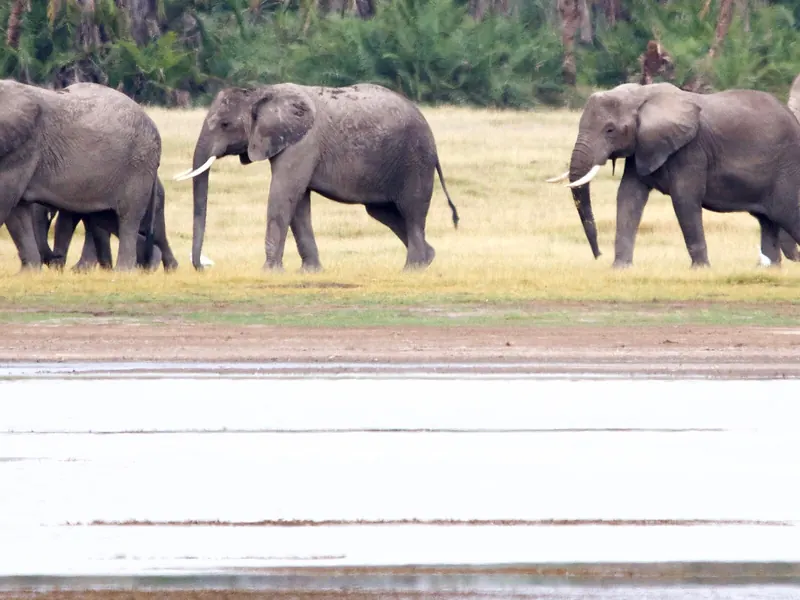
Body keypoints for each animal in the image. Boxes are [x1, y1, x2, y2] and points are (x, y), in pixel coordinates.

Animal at [0, 79, 161, 271]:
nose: (56, 257)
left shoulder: (22, 149)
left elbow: (6, 202)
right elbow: (17, 212)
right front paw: (28, 273)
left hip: (138, 167)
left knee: (128, 218)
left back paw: (124, 271)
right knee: (104, 218)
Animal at [173, 82, 459, 272]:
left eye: (225, 124)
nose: (203, 266)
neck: (261, 92)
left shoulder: (302, 143)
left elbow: (283, 195)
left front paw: (269, 271)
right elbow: (298, 203)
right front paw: (309, 272)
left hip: (415, 160)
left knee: (412, 211)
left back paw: (412, 268)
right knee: (384, 213)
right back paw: (427, 259)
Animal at [547, 82, 800, 268]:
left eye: (610, 130)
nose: (598, 255)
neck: (641, 95)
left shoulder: (691, 149)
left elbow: (684, 199)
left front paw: (700, 269)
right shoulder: (642, 146)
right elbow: (628, 196)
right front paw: (620, 268)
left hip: (786, 169)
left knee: (787, 214)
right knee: (767, 221)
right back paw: (770, 269)